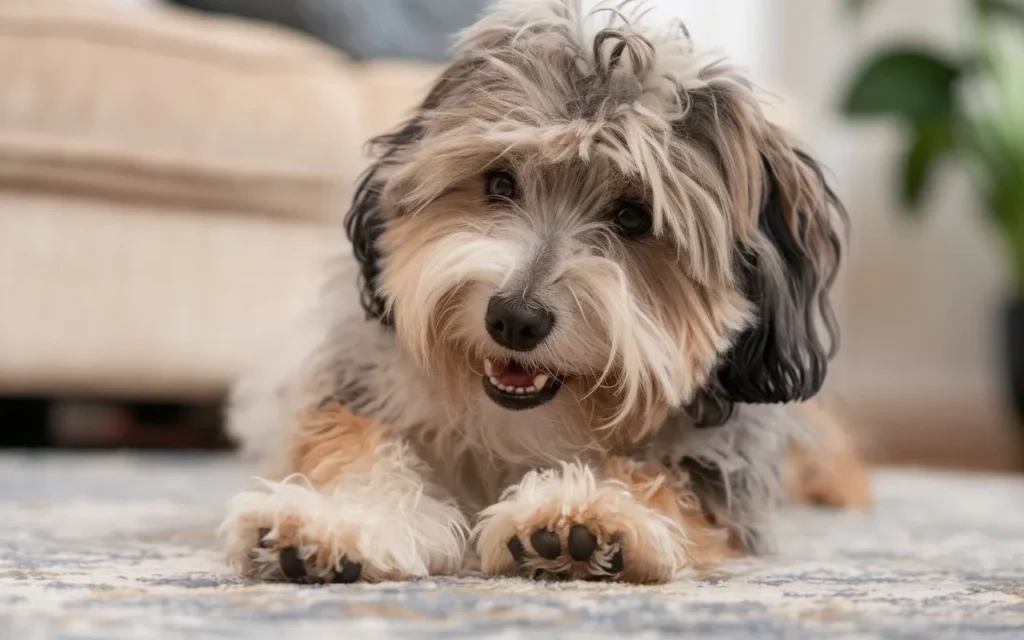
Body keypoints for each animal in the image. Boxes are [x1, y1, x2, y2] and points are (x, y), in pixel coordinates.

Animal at [220, 0, 868, 585]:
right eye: (500, 182)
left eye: (634, 216)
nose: (514, 319)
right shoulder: (356, 392)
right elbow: (360, 453)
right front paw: (341, 521)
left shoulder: (721, 469)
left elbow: (664, 480)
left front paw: (592, 510)